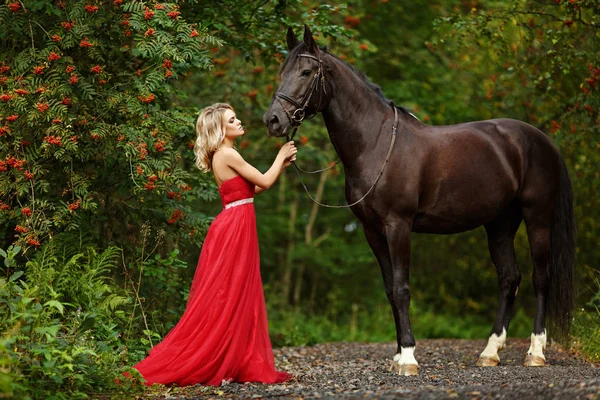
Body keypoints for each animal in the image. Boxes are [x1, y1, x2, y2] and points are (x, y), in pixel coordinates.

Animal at [264, 26, 576, 376]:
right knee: (509, 279)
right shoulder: (372, 231)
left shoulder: (398, 225)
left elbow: (402, 289)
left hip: (537, 218)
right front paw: (400, 354)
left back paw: (535, 352)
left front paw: (409, 358)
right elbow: (390, 289)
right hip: (500, 224)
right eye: (282, 72)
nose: (273, 120)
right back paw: (490, 352)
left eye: (306, 72)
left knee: (540, 278)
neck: (376, 143)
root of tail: (543, 140)